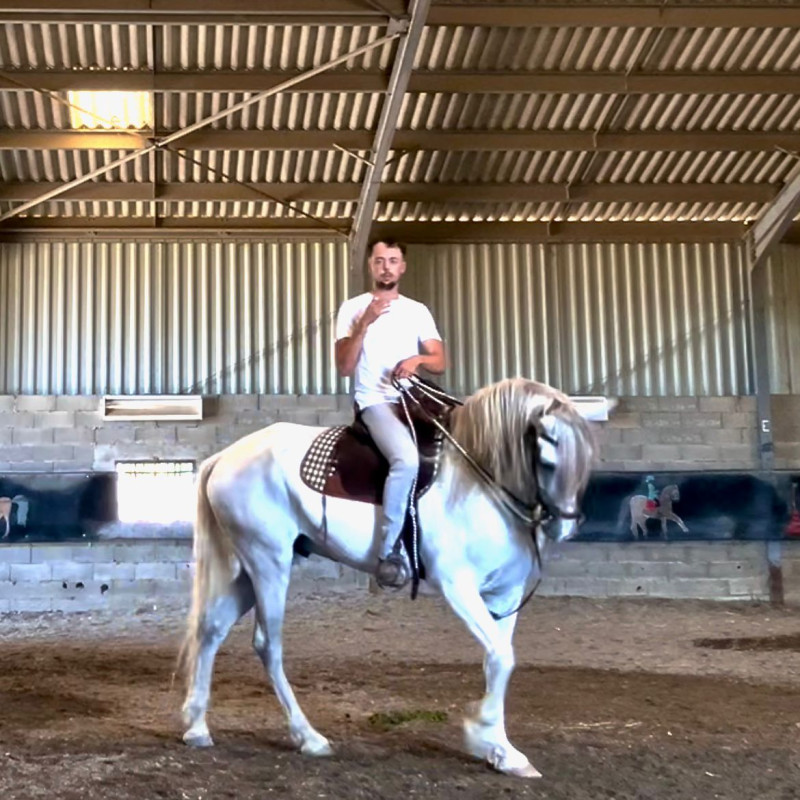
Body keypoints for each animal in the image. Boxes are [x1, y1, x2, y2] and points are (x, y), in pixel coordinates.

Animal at [179, 377, 596, 779]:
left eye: (586, 457)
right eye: (547, 456)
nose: (565, 527)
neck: (479, 481)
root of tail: (226, 457)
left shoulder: (504, 595)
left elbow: (498, 660)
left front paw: (501, 750)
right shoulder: (457, 585)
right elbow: (501, 657)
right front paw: (483, 736)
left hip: (251, 569)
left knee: (211, 629)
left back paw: (197, 727)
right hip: (269, 563)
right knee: (268, 645)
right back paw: (308, 737)